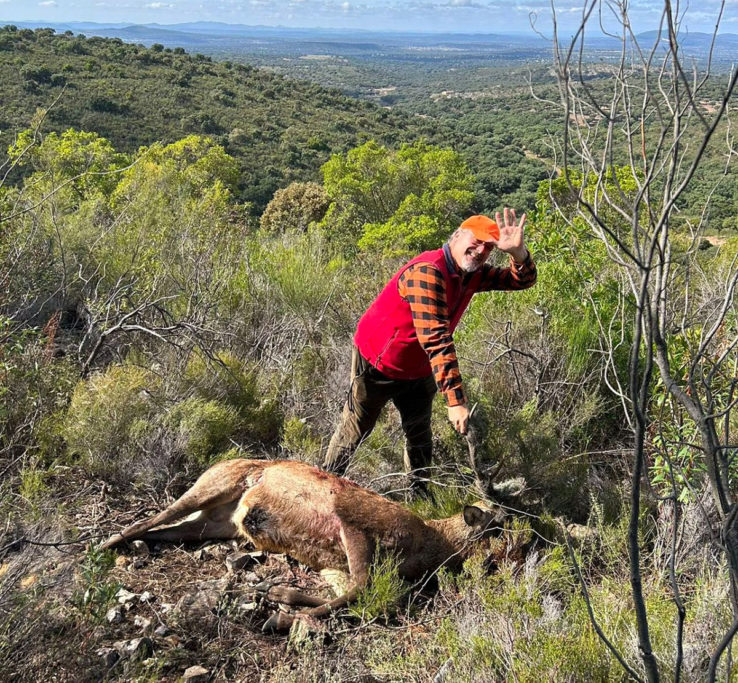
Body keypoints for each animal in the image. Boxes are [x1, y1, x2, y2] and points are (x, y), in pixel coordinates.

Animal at [102, 460, 506, 632]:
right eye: (496, 529)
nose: (507, 563)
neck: (429, 544)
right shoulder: (353, 526)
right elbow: (363, 589)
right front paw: (277, 616)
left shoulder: (334, 566)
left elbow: (350, 595)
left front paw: (279, 598)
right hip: (214, 484)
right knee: (150, 519)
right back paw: (108, 541)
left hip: (213, 524)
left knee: (165, 530)